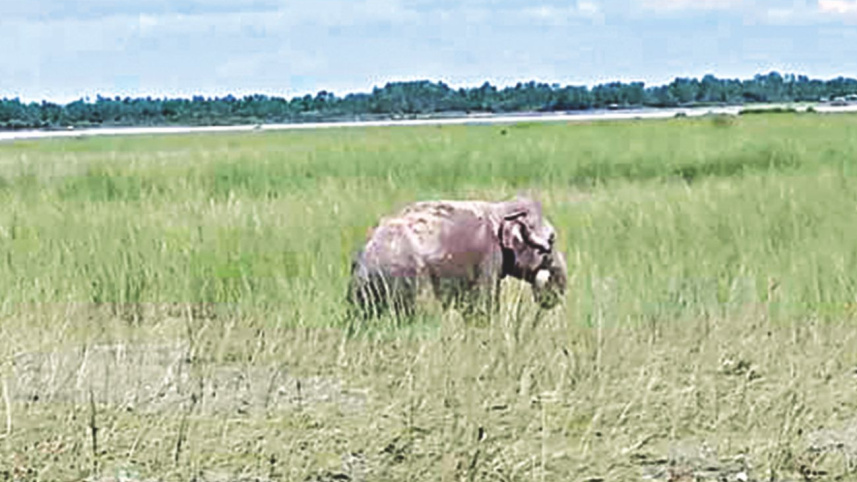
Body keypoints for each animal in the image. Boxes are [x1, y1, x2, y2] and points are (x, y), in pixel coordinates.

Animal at [346, 196, 568, 319]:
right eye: (552, 240)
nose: (549, 297)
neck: (500, 209)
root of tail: (363, 265)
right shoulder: (488, 257)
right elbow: (482, 305)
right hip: (410, 281)